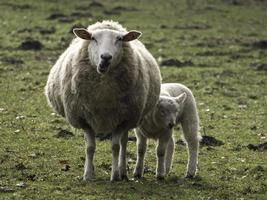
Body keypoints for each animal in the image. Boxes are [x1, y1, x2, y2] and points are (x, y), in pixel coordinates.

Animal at [44, 20, 161, 181]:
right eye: (93, 38)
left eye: (119, 39)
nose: (106, 57)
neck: (103, 94)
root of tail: (108, 23)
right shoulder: (84, 119)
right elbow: (89, 147)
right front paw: (88, 174)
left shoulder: (122, 120)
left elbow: (115, 147)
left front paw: (115, 175)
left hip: (129, 118)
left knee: (123, 143)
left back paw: (122, 171)